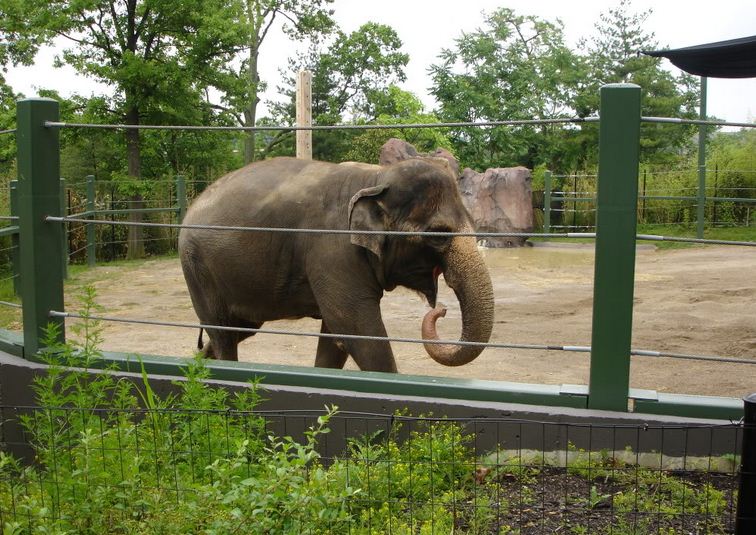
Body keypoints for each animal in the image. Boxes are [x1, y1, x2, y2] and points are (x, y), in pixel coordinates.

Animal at [178, 156, 494, 372]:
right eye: (438, 234)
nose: (441, 311)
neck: (375, 178)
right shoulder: (333, 250)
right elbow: (357, 329)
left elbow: (335, 334)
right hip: (197, 267)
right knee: (223, 333)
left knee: (239, 330)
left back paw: (194, 368)